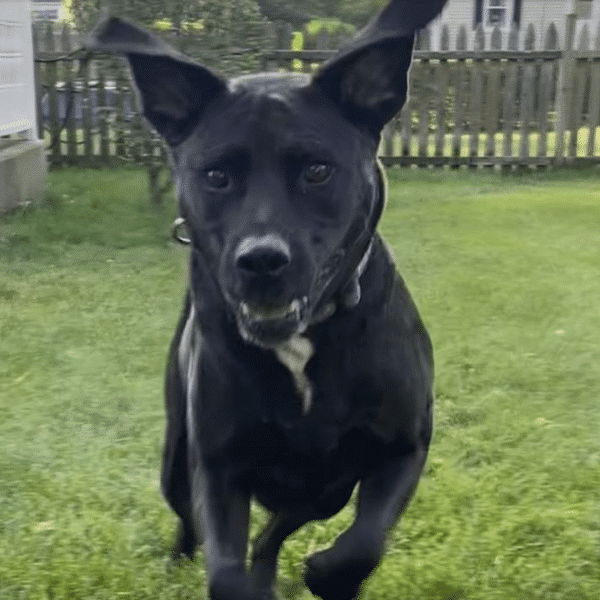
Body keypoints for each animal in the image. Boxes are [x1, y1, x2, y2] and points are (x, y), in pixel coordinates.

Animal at [88, 2, 446, 596]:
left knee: (276, 529)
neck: (301, 345)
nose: (259, 260)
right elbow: (225, 572)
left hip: (326, 490)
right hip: (175, 460)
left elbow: (365, 541)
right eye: (216, 175)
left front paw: (328, 574)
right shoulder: (217, 466)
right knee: (194, 519)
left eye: (318, 170)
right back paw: (183, 560)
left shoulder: (402, 448)